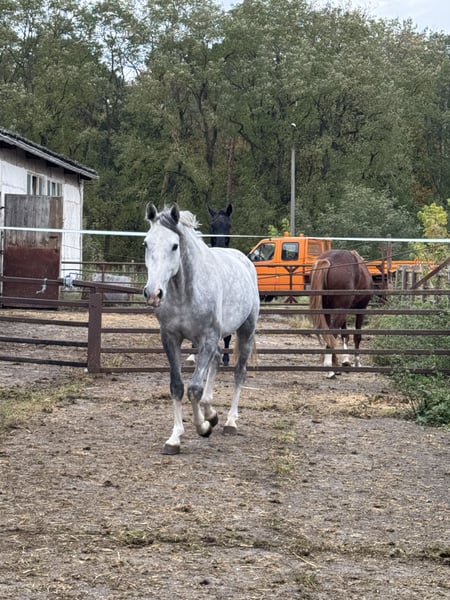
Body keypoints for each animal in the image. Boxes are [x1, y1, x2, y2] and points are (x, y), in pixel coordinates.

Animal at [143, 204, 260, 455]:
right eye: (146, 243)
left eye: (174, 245)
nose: (153, 293)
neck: (184, 291)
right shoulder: (171, 338)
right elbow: (177, 386)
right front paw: (175, 438)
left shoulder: (208, 338)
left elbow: (194, 388)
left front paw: (203, 427)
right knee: (215, 360)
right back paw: (211, 411)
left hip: (246, 331)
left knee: (239, 372)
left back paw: (229, 421)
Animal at [309, 249, 373, 378]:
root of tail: (328, 260)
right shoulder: (360, 309)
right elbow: (357, 336)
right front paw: (356, 362)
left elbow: (344, 335)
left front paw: (345, 361)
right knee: (332, 332)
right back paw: (329, 368)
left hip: (326, 310)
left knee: (328, 333)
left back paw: (334, 365)